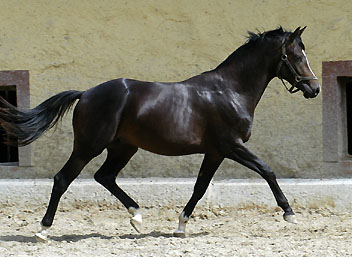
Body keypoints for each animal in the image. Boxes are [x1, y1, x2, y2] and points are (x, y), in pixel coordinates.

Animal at [0, 26, 320, 240]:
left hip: (123, 147)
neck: (229, 90)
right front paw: (289, 214)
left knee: (105, 176)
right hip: (89, 146)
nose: (314, 88)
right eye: (294, 55)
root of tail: (86, 93)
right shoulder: (232, 146)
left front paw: (180, 225)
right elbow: (267, 171)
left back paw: (137, 217)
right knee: (63, 178)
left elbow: (200, 187)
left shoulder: (215, 152)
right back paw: (43, 230)